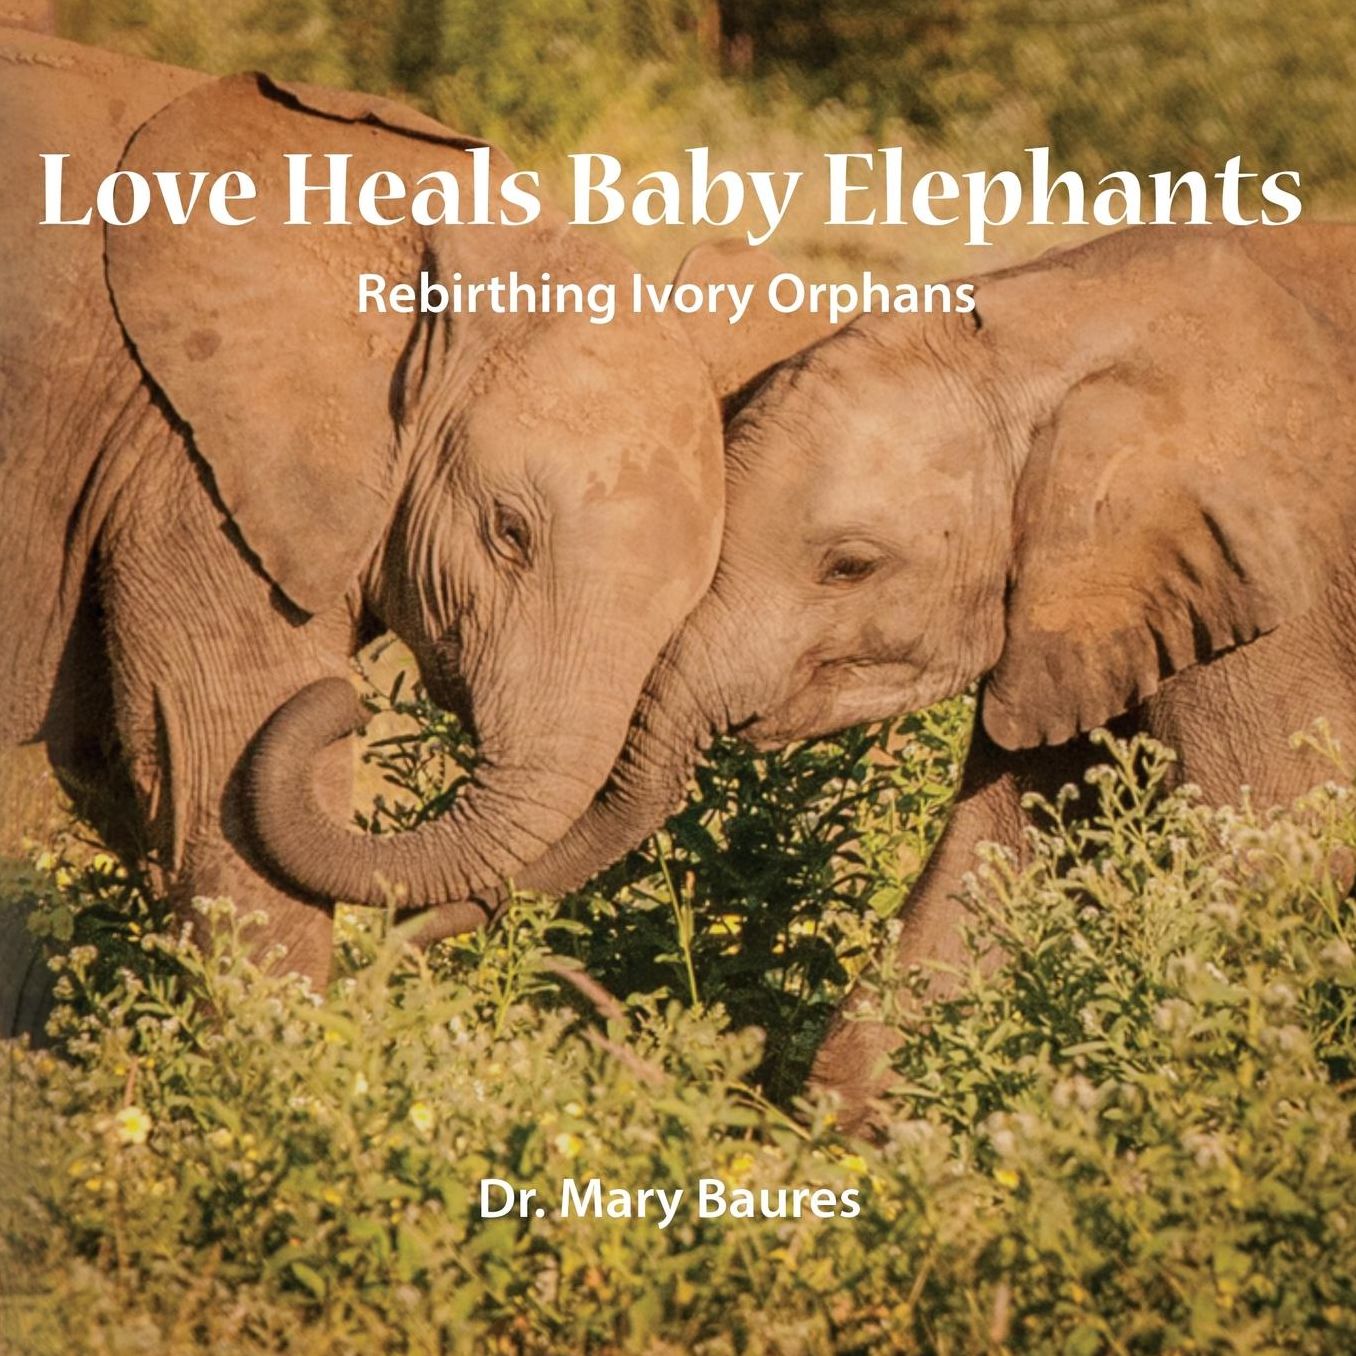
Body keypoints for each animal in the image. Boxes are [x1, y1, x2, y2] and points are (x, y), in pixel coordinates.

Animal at [366, 223, 1354, 1130]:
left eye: (849, 567)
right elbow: (1000, 852)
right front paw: (862, 1140)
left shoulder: (1275, 600)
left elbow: (1262, 853)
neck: (1052, 329)